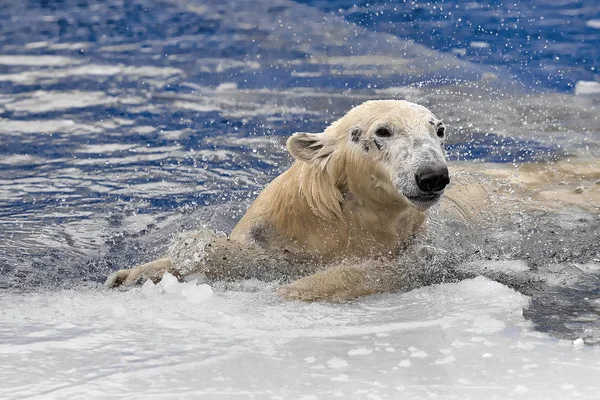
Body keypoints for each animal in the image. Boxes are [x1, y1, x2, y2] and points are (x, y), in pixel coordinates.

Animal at [105, 99, 466, 300]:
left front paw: (298, 289)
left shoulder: (414, 248)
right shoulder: (274, 231)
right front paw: (132, 276)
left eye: (439, 130)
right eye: (382, 131)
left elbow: (380, 272)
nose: (431, 175)